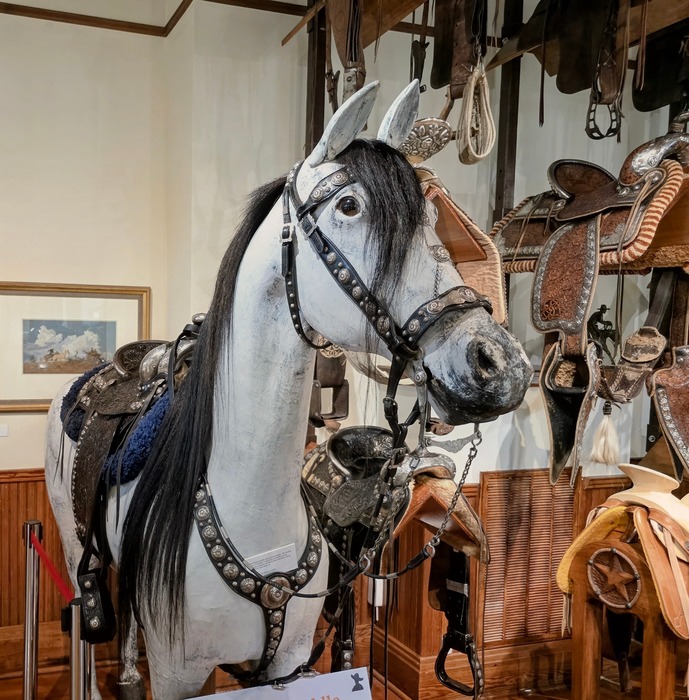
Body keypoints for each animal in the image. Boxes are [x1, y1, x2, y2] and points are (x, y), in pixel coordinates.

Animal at [44, 81, 532, 700]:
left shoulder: (290, 662)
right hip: (70, 540)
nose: (500, 365)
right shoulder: (180, 674)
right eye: (349, 207)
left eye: (430, 219)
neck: (252, 514)